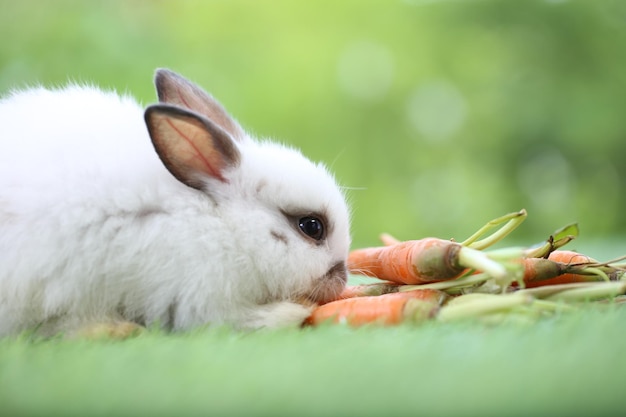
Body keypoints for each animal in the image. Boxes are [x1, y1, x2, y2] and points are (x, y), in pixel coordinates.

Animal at [0, 67, 352, 334]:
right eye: (311, 226)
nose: (342, 279)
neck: (223, 222)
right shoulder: (201, 294)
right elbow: (239, 320)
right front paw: (296, 311)